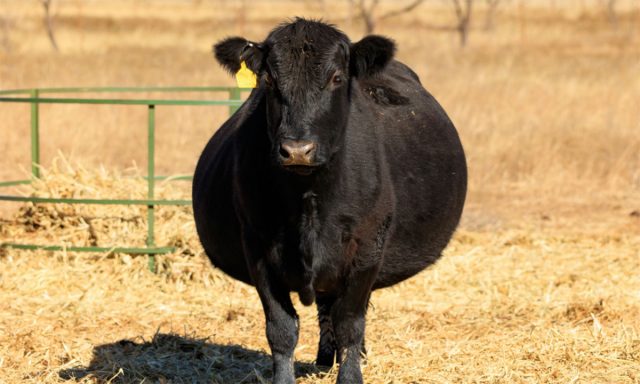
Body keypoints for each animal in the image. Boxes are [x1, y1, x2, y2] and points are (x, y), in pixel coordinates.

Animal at [192, 18, 468, 384]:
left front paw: (351, 374)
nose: (297, 149)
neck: (308, 197)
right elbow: (281, 329)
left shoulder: (366, 248)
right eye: (269, 79)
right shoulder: (258, 249)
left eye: (336, 78)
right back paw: (324, 360)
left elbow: (350, 322)